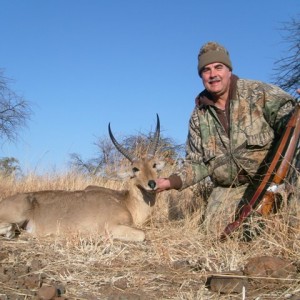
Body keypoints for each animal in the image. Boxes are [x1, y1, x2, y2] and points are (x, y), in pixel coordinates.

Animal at [0, 115, 164, 241]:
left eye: (154, 165)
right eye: (135, 169)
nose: (152, 184)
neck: (125, 202)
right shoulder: (112, 227)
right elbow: (143, 234)